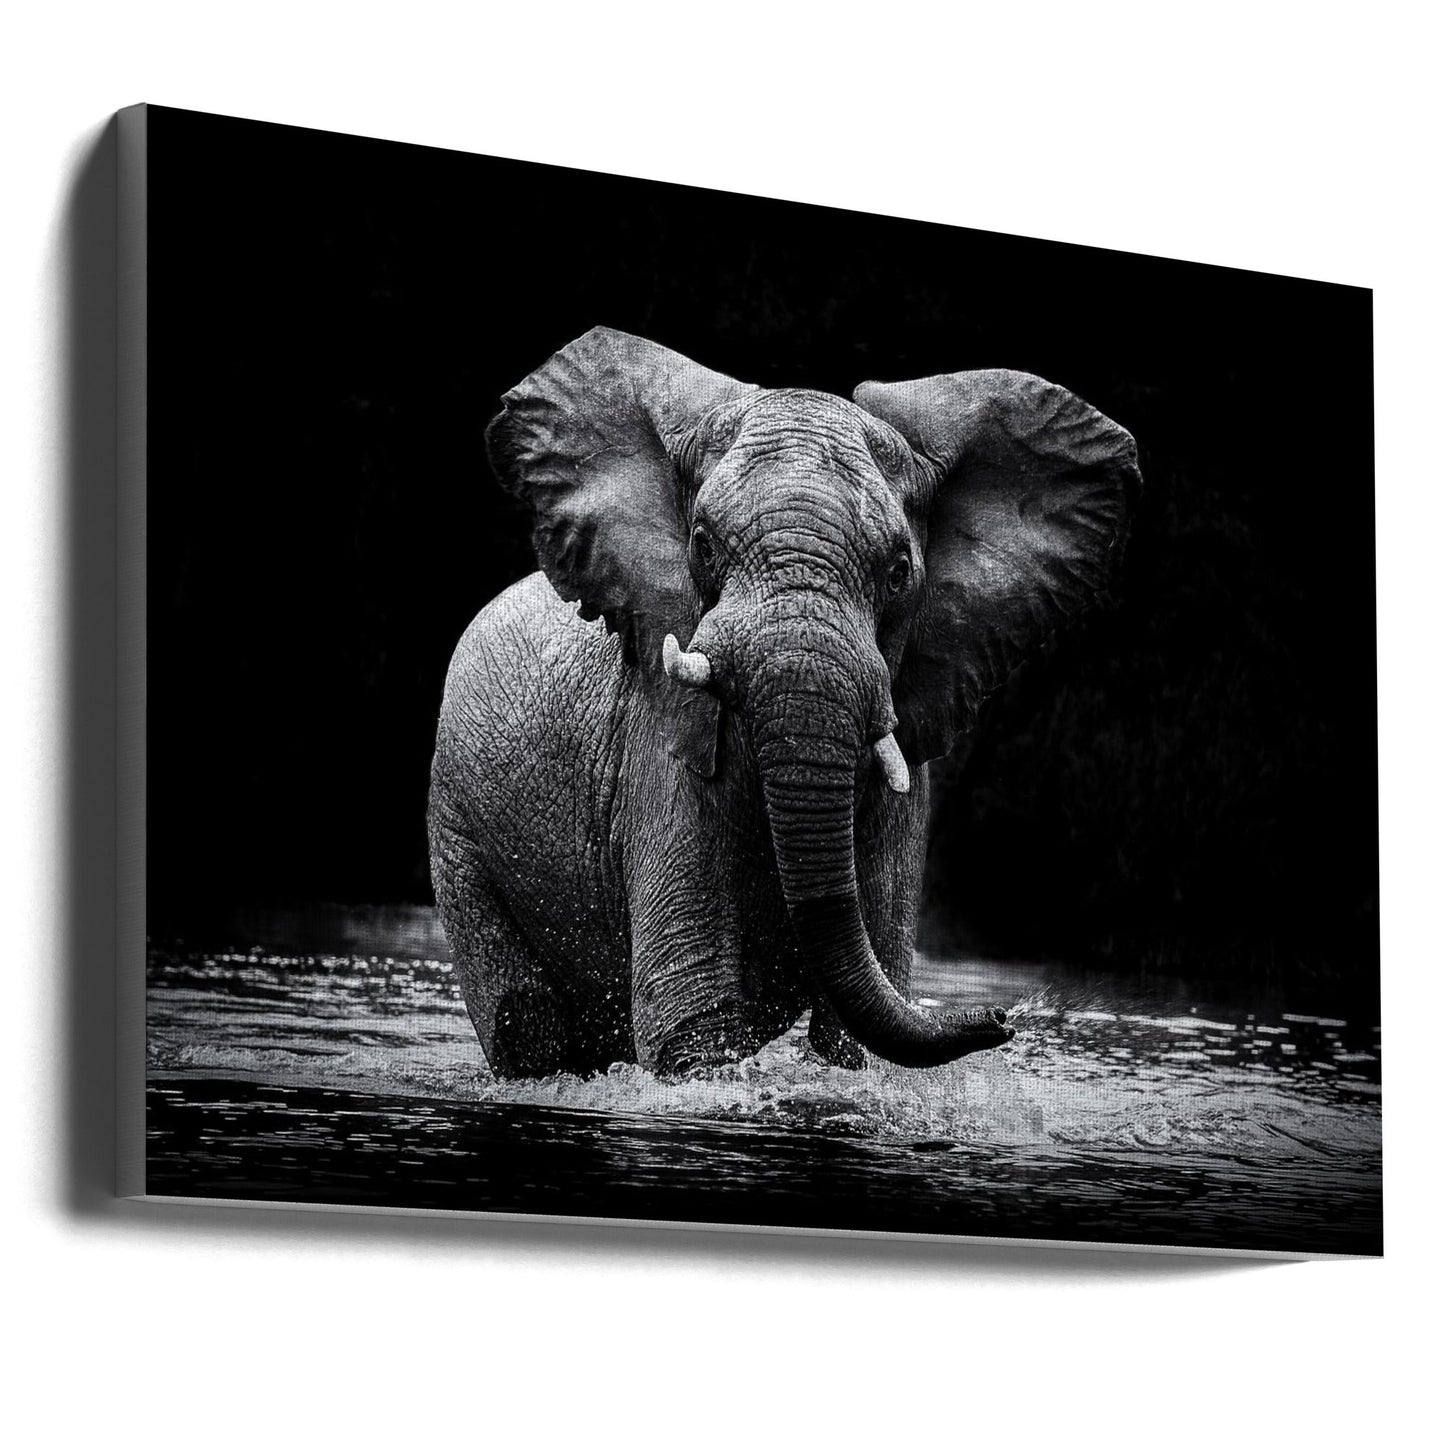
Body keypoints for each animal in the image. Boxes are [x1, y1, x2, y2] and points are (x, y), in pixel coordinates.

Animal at [428, 327, 1141, 1079]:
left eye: (899, 571)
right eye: (702, 544)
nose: (1004, 1017)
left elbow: (853, 1038)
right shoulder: (659, 740)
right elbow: (695, 1025)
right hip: (457, 828)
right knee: (524, 1024)